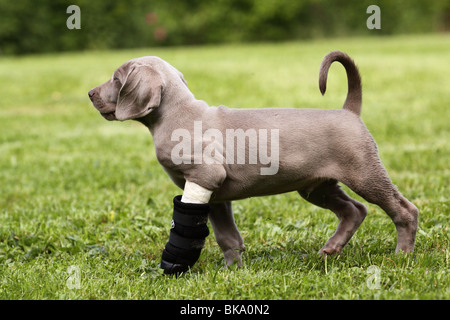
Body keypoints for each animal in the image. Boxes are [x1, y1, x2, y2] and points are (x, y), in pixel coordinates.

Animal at [88, 51, 418, 268]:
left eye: (117, 79)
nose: (90, 93)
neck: (176, 114)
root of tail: (349, 111)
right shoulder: (215, 194)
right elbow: (227, 237)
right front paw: (232, 271)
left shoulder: (205, 176)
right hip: (316, 185)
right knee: (354, 210)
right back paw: (331, 249)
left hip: (364, 172)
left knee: (404, 209)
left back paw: (402, 255)